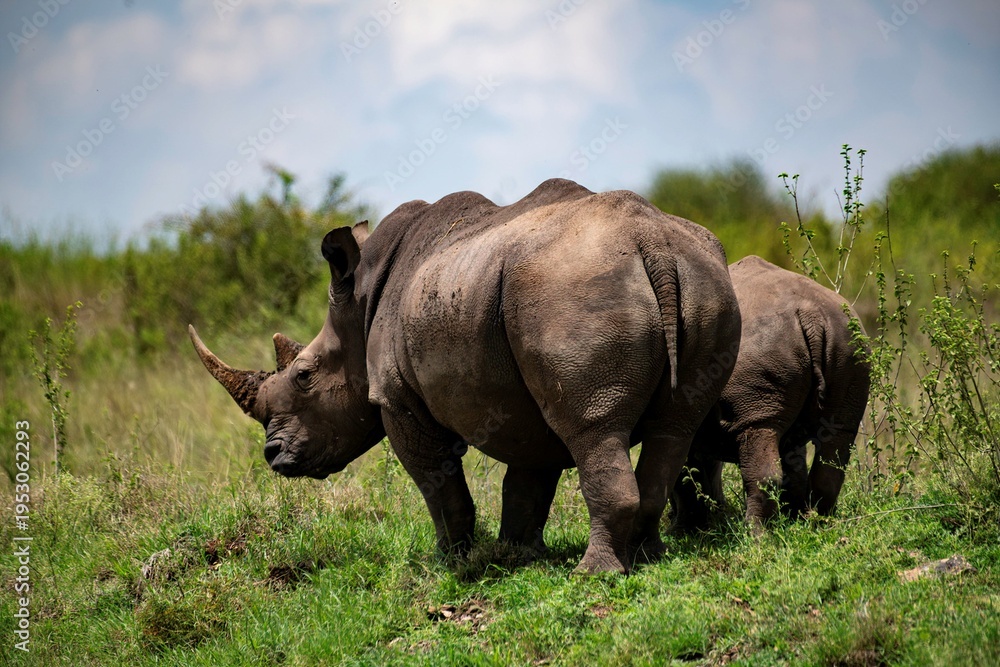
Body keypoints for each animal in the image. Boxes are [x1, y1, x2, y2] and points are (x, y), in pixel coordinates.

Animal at [189, 178, 741, 574]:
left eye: (303, 375)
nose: (272, 456)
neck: (359, 305)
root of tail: (649, 240)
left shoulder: (397, 400)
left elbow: (438, 485)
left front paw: (450, 560)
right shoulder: (517, 391)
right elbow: (527, 478)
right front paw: (516, 554)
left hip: (574, 288)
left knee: (592, 428)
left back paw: (595, 574)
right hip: (700, 279)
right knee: (672, 427)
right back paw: (645, 556)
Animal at [673, 255, 871, 530]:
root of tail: (813, 316)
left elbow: (684, 475)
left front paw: (684, 531)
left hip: (761, 349)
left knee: (758, 431)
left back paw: (755, 533)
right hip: (849, 340)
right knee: (838, 433)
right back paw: (816, 523)